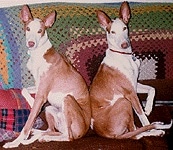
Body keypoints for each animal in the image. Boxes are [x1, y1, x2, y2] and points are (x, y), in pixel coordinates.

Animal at [3, 4, 91, 149]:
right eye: (28, 28)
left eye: (40, 31)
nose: (31, 43)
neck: (39, 54)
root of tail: (84, 131)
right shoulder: (40, 87)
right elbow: (24, 90)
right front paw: (32, 103)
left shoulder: (42, 92)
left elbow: (28, 122)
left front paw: (15, 142)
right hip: (51, 109)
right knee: (51, 130)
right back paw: (39, 134)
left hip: (67, 99)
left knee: (68, 137)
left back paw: (41, 137)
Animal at [89, 1, 172, 139]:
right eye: (112, 32)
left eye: (124, 28)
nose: (124, 45)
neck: (123, 55)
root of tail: (111, 136)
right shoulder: (130, 93)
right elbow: (142, 116)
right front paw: (147, 117)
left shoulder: (134, 85)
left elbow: (152, 89)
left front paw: (148, 107)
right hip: (124, 102)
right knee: (135, 134)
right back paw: (155, 130)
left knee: (135, 130)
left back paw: (156, 125)